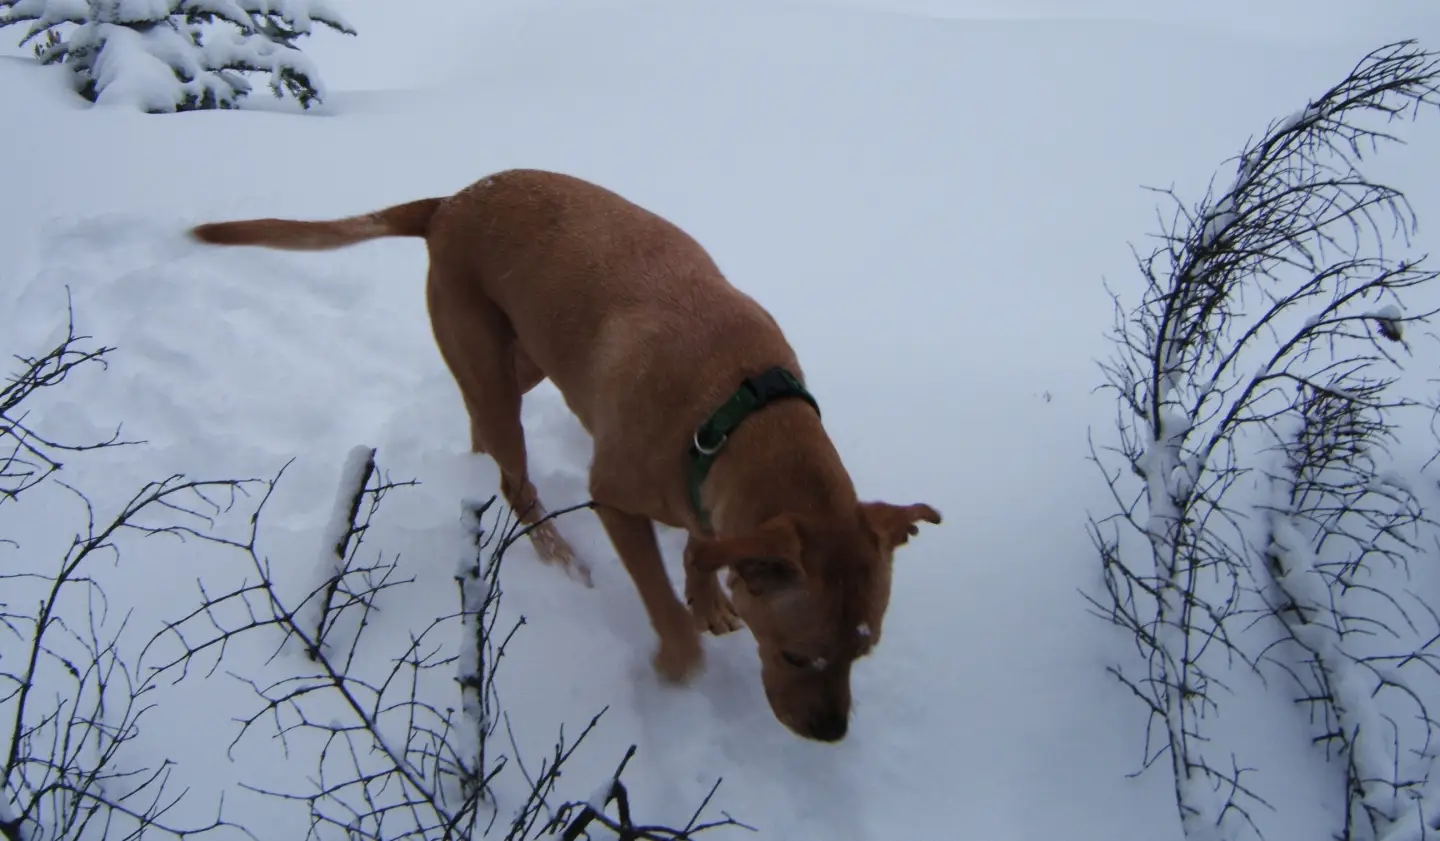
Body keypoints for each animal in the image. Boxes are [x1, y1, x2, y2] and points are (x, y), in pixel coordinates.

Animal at [185, 169, 938, 743]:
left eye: (862, 650)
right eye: (797, 654)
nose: (830, 733)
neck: (739, 410)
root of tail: (449, 202)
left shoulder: (705, 498)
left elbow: (703, 548)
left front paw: (709, 596)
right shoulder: (615, 496)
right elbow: (666, 609)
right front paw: (675, 662)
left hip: (525, 359)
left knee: (484, 438)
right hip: (490, 360)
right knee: (515, 480)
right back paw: (558, 555)